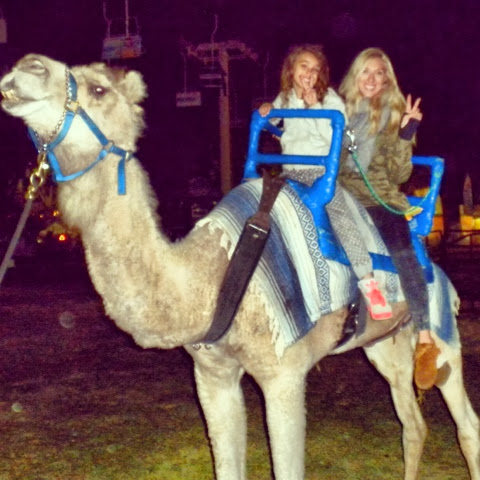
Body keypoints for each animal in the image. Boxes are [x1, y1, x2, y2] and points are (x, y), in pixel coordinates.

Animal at [1, 54, 479, 480]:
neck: (210, 276)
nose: (25, 68)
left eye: (98, 88)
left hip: (441, 332)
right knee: (412, 424)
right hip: (384, 346)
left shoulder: (285, 374)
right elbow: (226, 464)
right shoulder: (212, 374)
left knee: (466, 424)